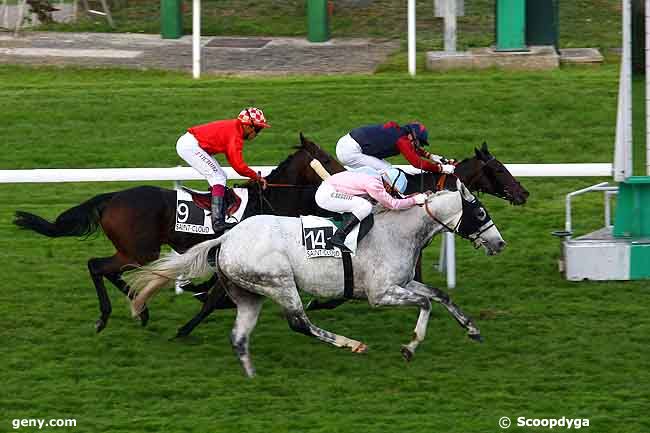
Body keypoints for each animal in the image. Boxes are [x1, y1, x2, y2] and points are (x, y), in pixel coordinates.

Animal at [13, 134, 344, 330]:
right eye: (327, 159)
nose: (344, 176)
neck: (269, 202)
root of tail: (112, 198)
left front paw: (196, 291)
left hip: (134, 250)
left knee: (109, 270)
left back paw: (140, 307)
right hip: (140, 251)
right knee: (97, 266)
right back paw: (110, 314)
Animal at [124, 181, 504, 376]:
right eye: (480, 211)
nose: (499, 243)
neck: (398, 231)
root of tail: (228, 237)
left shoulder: (402, 282)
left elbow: (440, 294)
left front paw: (473, 330)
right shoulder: (381, 293)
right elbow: (426, 302)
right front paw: (410, 347)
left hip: (249, 292)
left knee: (239, 336)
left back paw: (251, 375)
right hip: (279, 282)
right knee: (299, 323)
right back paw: (351, 344)